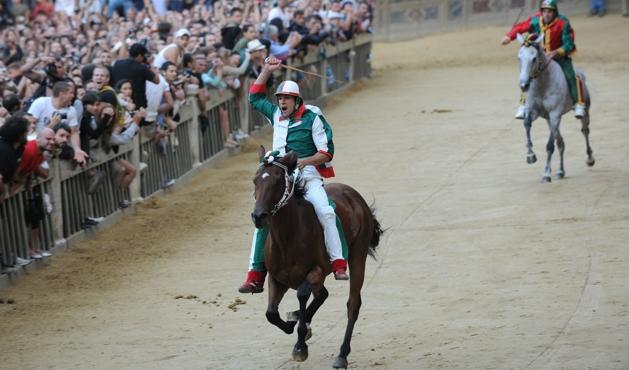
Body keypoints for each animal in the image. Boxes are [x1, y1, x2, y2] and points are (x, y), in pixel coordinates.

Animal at [251, 146, 382, 368]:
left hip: (358, 255)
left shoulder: (316, 272)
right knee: (322, 295)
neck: (288, 237)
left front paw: (300, 345)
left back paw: (341, 355)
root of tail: (354, 196)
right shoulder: (277, 278)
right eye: (255, 180)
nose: (258, 216)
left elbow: (302, 294)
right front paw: (292, 324)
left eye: (277, 181)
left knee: (353, 304)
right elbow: (271, 313)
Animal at [516, 32, 592, 183]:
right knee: (561, 142)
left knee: (585, 131)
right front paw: (530, 156)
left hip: (585, 111)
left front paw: (546, 174)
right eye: (519, 57)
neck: (542, 83)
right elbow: (526, 124)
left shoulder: (555, 115)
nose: (524, 85)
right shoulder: (534, 112)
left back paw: (590, 159)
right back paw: (561, 171)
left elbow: (550, 145)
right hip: (548, 120)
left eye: (534, 58)